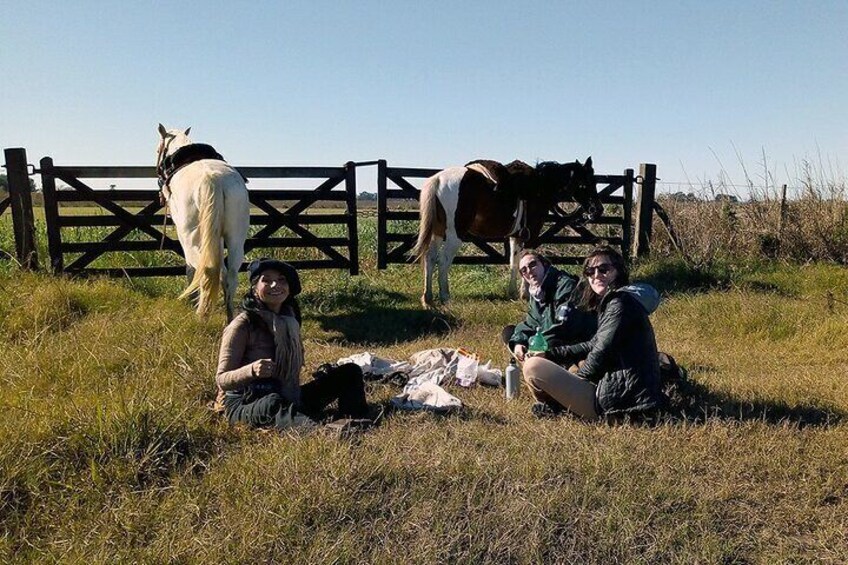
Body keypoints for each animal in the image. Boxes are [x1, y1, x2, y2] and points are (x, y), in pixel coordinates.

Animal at [156, 124, 250, 320]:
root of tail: (213, 179)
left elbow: (190, 269)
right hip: (236, 238)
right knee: (229, 275)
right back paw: (229, 317)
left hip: (190, 237)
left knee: (204, 270)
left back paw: (200, 314)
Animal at [412, 159, 600, 306]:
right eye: (587, 183)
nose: (597, 209)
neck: (539, 187)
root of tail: (438, 179)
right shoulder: (529, 236)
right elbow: (527, 262)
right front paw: (527, 294)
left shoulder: (516, 236)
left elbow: (514, 263)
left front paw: (514, 293)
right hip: (455, 235)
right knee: (443, 261)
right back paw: (445, 297)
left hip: (438, 233)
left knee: (430, 258)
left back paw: (428, 299)